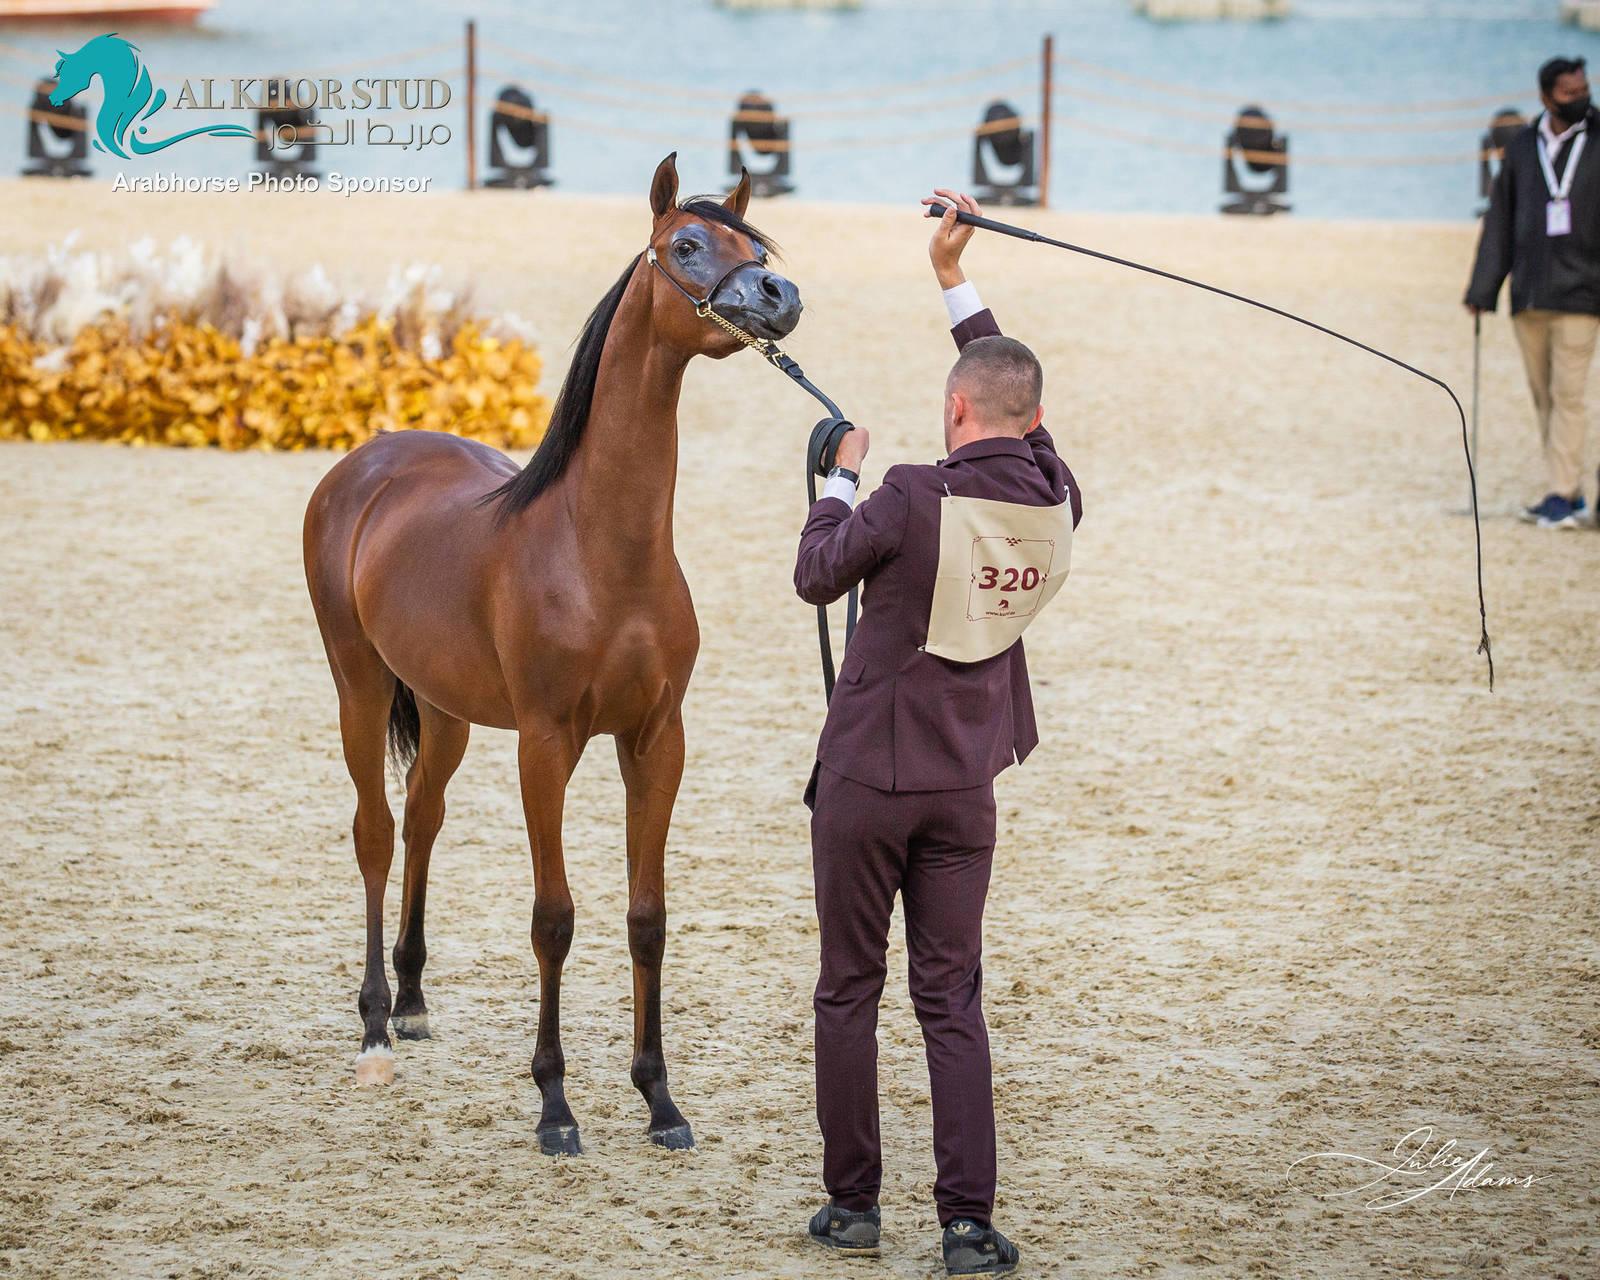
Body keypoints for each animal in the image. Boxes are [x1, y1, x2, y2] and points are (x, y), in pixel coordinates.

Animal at [302, 154, 802, 1155]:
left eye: (757, 250)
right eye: (686, 246)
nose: (781, 295)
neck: (601, 550)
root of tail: (363, 467)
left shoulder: (656, 742)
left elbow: (646, 917)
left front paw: (660, 1102)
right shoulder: (547, 745)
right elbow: (554, 920)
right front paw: (556, 1107)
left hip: (445, 709)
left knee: (421, 821)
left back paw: (412, 1000)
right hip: (359, 686)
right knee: (374, 831)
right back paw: (375, 1027)